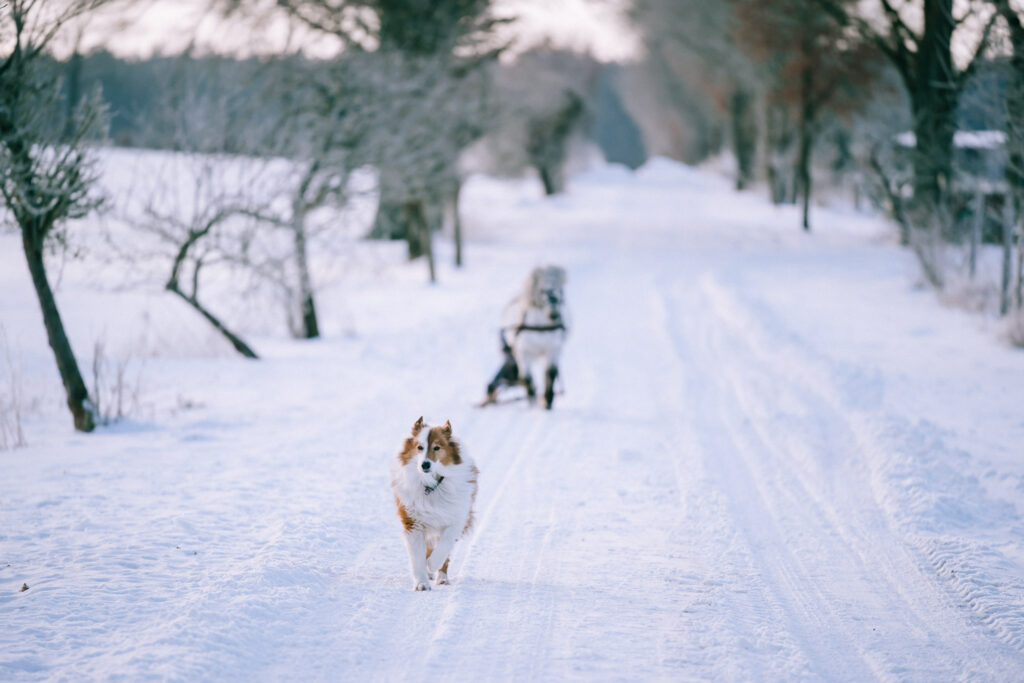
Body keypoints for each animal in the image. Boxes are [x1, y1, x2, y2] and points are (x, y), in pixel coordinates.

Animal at [389, 419, 477, 589]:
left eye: (437, 447)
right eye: (420, 447)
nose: (425, 465)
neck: (431, 486)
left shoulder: (456, 519)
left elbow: (444, 547)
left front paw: (433, 565)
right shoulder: (413, 522)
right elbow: (417, 557)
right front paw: (421, 583)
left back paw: (441, 577)